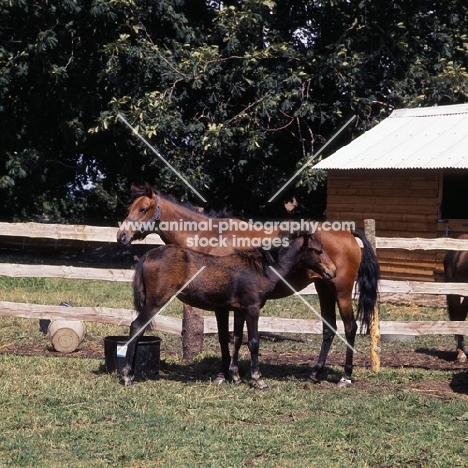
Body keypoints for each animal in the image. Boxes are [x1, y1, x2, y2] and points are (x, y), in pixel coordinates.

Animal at [117, 183, 380, 388]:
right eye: (130, 208)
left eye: (143, 209)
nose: (121, 236)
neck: (210, 236)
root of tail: (349, 233)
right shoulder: (236, 306)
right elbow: (234, 337)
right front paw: (232, 374)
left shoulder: (227, 306)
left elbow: (230, 338)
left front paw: (228, 374)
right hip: (324, 288)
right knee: (329, 329)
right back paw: (315, 373)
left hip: (341, 291)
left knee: (350, 327)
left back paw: (345, 377)